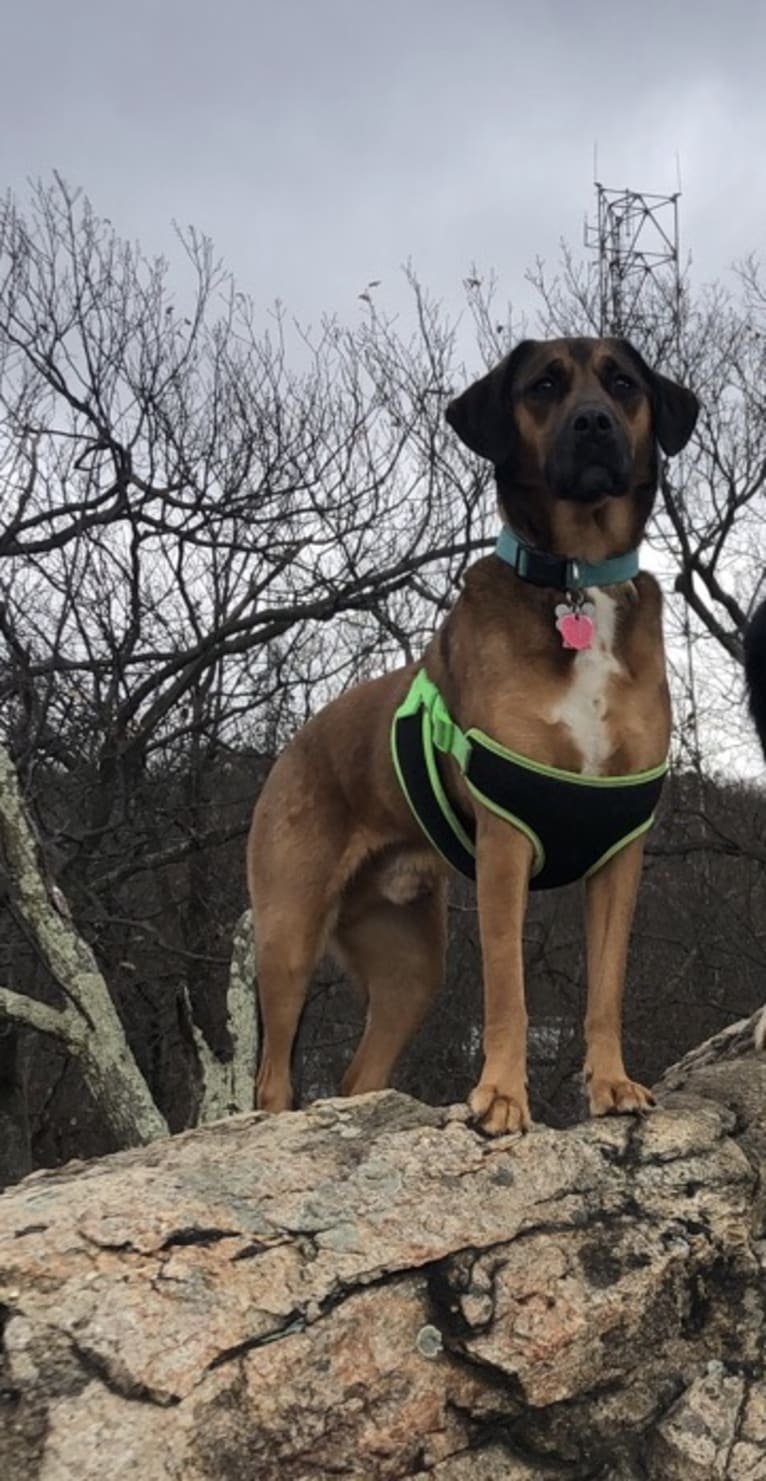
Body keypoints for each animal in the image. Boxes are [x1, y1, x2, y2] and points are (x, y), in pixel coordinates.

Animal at [247, 339, 696, 1131]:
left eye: (623, 383)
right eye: (543, 384)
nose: (594, 425)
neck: (575, 581)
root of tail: (293, 747)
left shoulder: (621, 849)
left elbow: (607, 984)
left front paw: (611, 1083)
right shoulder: (505, 846)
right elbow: (508, 990)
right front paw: (502, 1097)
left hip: (409, 966)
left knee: (359, 1077)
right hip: (288, 931)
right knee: (275, 1080)